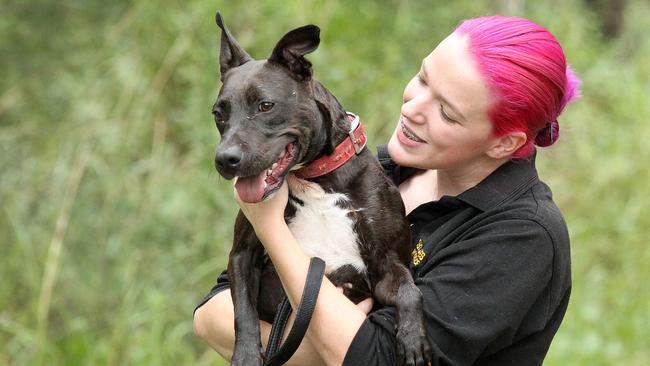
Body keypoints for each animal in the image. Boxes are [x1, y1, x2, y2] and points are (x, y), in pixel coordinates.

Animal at [211, 12, 430, 364]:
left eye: (265, 106)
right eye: (218, 114)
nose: (225, 159)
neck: (316, 181)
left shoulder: (386, 269)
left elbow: (411, 291)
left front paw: (412, 338)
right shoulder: (242, 255)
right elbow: (242, 310)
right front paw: (245, 355)